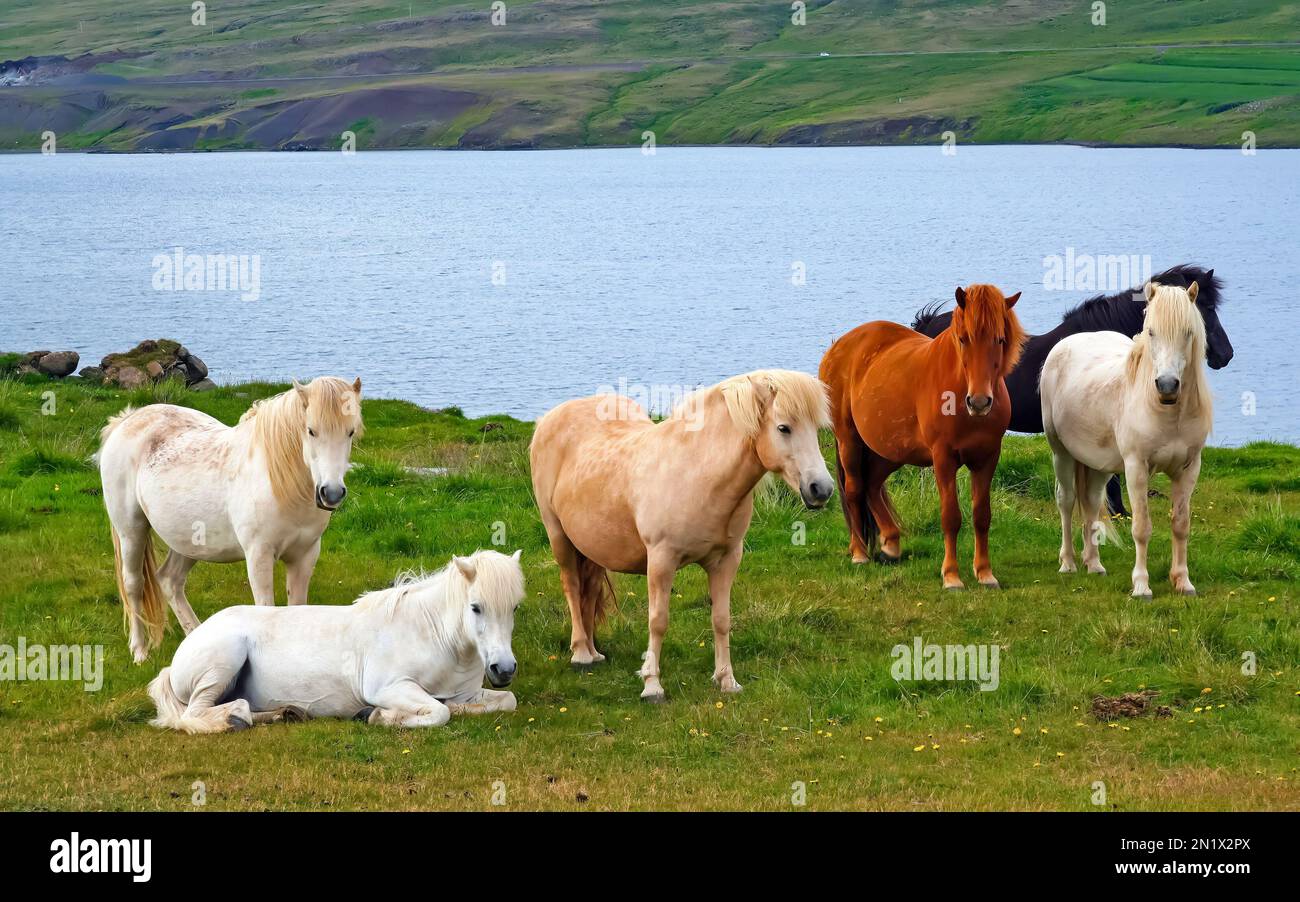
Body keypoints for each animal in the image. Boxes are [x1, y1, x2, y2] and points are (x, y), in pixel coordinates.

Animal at [97, 376, 363, 663]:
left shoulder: (305, 556)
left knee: (169, 580)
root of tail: (127, 420)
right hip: (131, 531)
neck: (280, 481)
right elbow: (265, 609)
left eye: (350, 432)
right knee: (133, 584)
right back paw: (139, 651)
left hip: (189, 541)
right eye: (311, 431)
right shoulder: (259, 556)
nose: (332, 493)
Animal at [147, 550, 524, 733]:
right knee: (194, 714)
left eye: (515, 607)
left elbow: (505, 701)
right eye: (476, 607)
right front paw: (379, 717)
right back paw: (233, 720)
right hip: (223, 661)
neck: (433, 635)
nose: (503, 668)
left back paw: (281, 714)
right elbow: (440, 712)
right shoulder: (389, 687)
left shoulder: (469, 693)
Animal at [529, 370, 833, 702]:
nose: (822, 489)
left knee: (590, 590)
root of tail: (549, 419)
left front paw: (727, 680)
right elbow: (658, 621)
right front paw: (652, 685)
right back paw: (581, 654)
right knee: (571, 585)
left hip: (593, 545)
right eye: (784, 428)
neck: (697, 473)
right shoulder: (661, 560)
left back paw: (594, 652)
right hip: (558, 536)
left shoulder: (727, 560)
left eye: (816, 428)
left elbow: (721, 620)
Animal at [821, 284, 1026, 589]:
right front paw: (951, 576)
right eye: (963, 339)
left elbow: (982, 516)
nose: (979, 402)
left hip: (890, 450)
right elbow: (951, 517)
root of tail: (839, 346)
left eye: (1000, 340)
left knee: (872, 485)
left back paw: (891, 545)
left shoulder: (987, 458)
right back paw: (859, 553)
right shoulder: (943, 459)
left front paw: (985, 573)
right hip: (849, 441)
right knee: (855, 489)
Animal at [1040, 282, 1212, 598]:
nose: (1167, 385)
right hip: (1061, 453)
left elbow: (1181, 525)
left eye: (1188, 332)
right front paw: (1141, 586)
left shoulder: (1189, 469)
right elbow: (1142, 528)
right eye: (1151, 331)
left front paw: (1183, 581)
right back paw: (1068, 562)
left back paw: (1094, 563)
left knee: (1091, 501)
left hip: (1099, 465)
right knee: (1066, 501)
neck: (1164, 411)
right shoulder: (1136, 468)